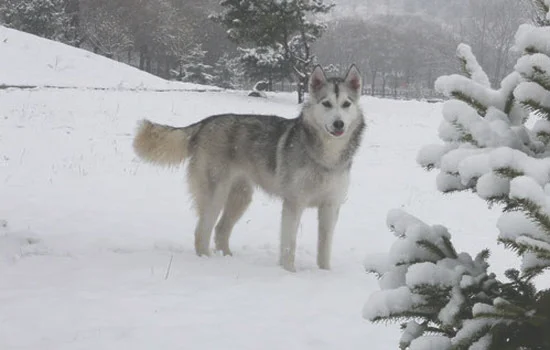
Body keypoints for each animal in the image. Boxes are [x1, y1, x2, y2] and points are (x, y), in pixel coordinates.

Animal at [133, 66, 366, 274]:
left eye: (346, 104)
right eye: (327, 104)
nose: (338, 123)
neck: (326, 157)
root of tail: (205, 122)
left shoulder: (330, 206)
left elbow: (324, 248)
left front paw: (325, 275)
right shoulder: (294, 203)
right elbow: (289, 245)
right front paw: (289, 274)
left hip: (241, 196)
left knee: (220, 230)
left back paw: (228, 259)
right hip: (215, 195)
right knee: (201, 232)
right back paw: (208, 262)